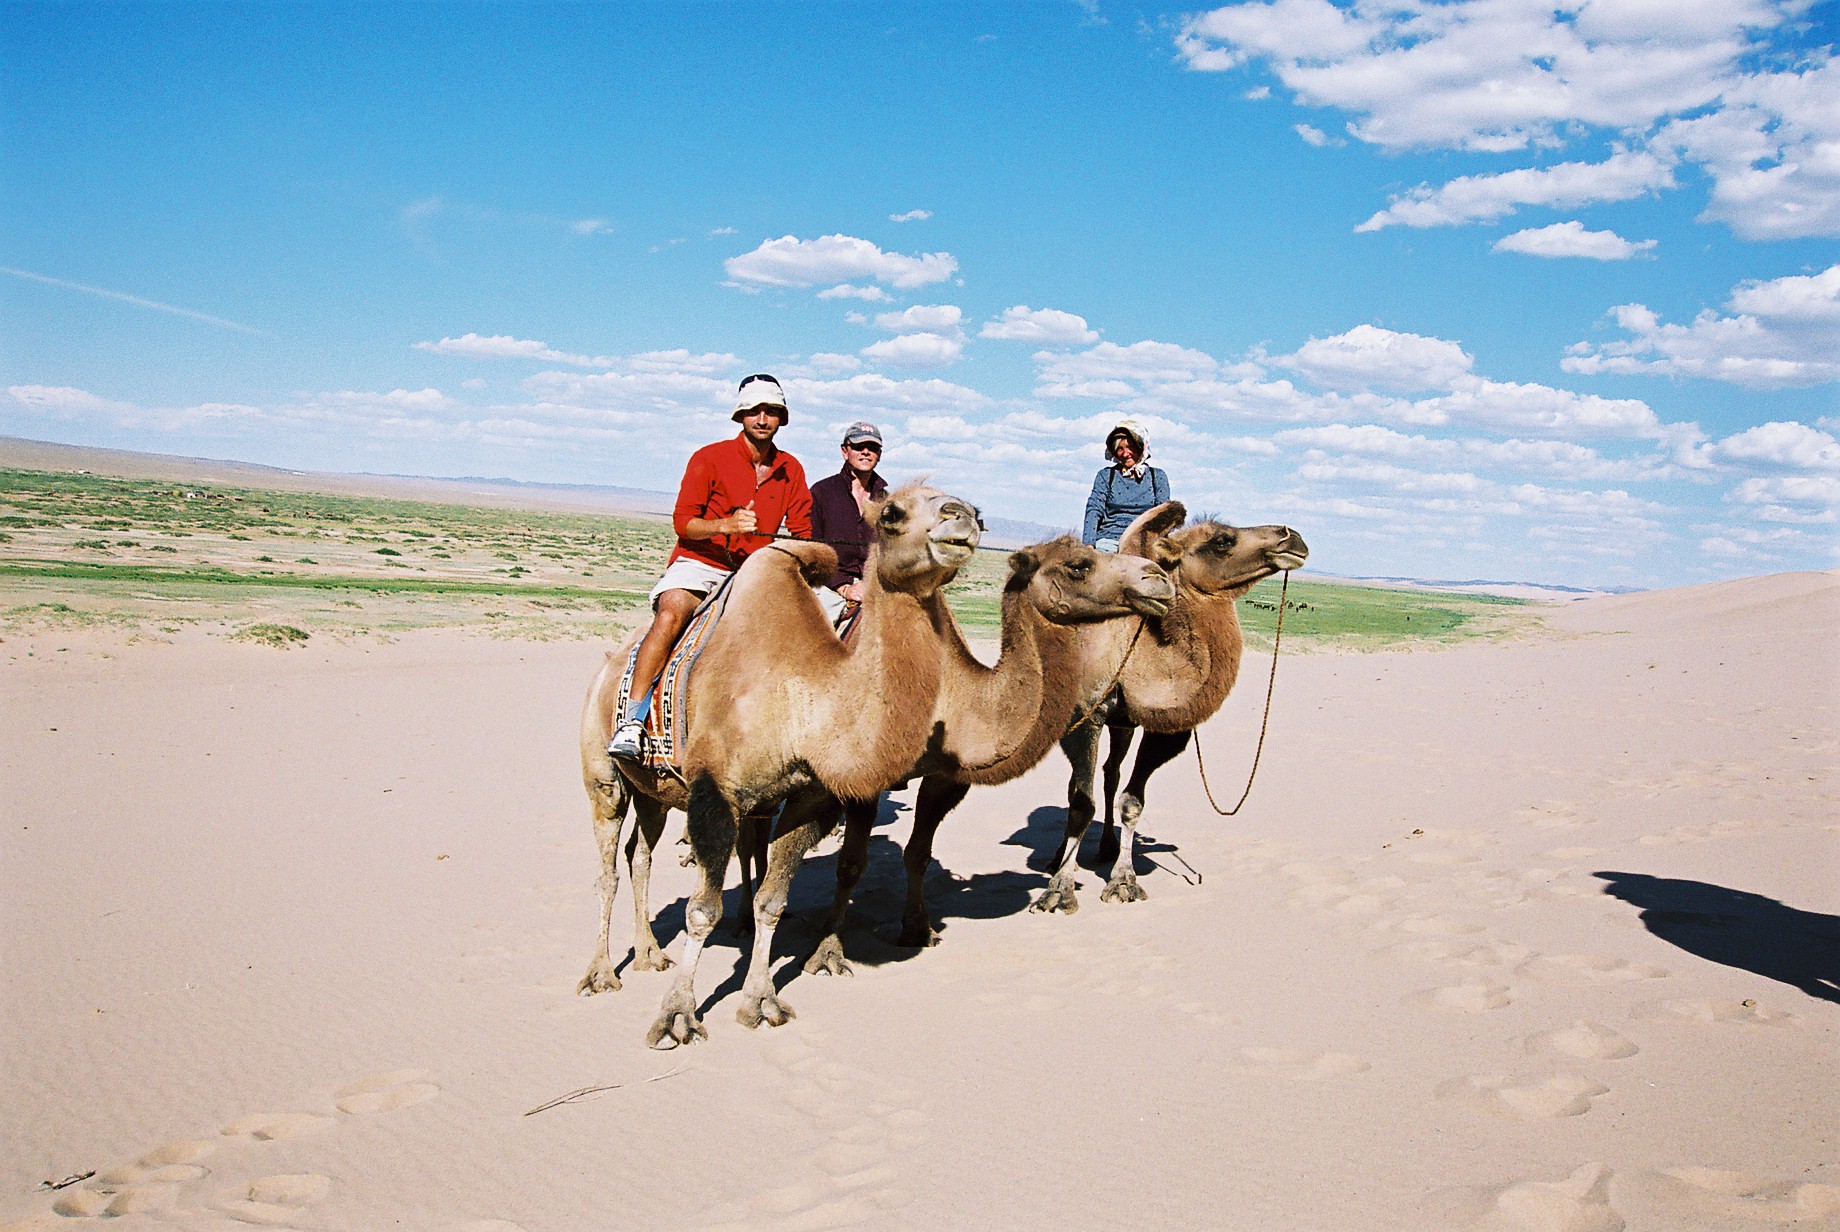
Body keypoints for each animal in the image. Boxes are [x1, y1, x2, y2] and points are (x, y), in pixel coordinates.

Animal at [577, 489, 986, 1044]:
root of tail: (605, 667)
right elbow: (701, 911)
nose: (963, 515)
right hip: (603, 777)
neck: (800, 693)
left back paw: (647, 955)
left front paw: (760, 1001)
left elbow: (772, 900)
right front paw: (677, 1014)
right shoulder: (716, 794)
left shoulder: (807, 798)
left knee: (639, 853)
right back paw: (601, 973)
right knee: (607, 867)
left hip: (655, 792)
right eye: (891, 513)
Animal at [794, 536, 1170, 978]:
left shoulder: (946, 779)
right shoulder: (867, 778)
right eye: (1078, 565)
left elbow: (918, 854)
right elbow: (851, 864)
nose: (1159, 577)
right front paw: (827, 952)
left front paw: (918, 929)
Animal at [1030, 500, 1317, 915]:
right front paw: (1059, 890)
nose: (1292, 537)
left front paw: (1123, 881)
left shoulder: (1165, 728)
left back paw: (1107, 846)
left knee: (1112, 772)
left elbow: (1133, 801)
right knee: (1080, 783)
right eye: (1222, 540)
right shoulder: (1087, 716)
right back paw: (1058, 858)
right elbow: (1080, 803)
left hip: (1124, 724)